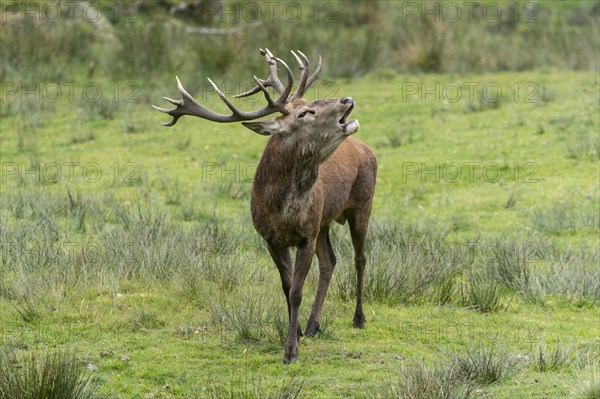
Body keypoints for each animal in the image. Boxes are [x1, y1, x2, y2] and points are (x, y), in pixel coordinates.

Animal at [157, 48, 378, 364]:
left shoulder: (306, 235)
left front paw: (291, 351)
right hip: (324, 221)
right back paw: (314, 324)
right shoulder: (271, 238)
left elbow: (297, 291)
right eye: (305, 112)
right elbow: (287, 289)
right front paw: (297, 333)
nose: (346, 100)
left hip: (362, 203)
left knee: (360, 258)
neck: (282, 212)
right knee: (330, 261)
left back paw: (359, 318)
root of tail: (366, 149)